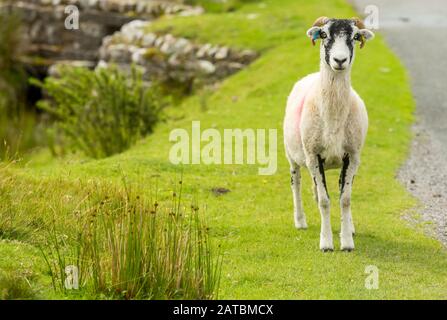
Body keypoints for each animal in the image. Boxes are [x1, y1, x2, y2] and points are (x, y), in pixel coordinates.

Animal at [286, 17, 376, 251]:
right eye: (324, 34)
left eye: (355, 36)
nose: (340, 60)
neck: (333, 117)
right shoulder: (313, 156)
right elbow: (325, 201)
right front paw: (326, 243)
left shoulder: (351, 156)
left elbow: (345, 199)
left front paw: (347, 242)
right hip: (294, 157)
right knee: (296, 182)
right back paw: (300, 221)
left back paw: (349, 227)